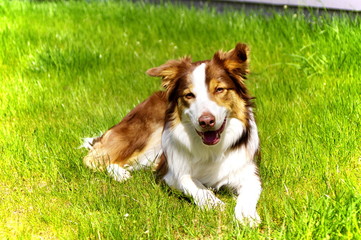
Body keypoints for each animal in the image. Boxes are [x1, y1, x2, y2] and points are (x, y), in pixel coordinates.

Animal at [82, 43, 260, 227]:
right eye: (189, 95)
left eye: (219, 89)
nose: (206, 121)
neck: (211, 149)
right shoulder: (171, 172)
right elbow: (190, 182)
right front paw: (213, 203)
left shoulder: (248, 173)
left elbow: (249, 192)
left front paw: (246, 216)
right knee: (95, 159)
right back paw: (120, 174)